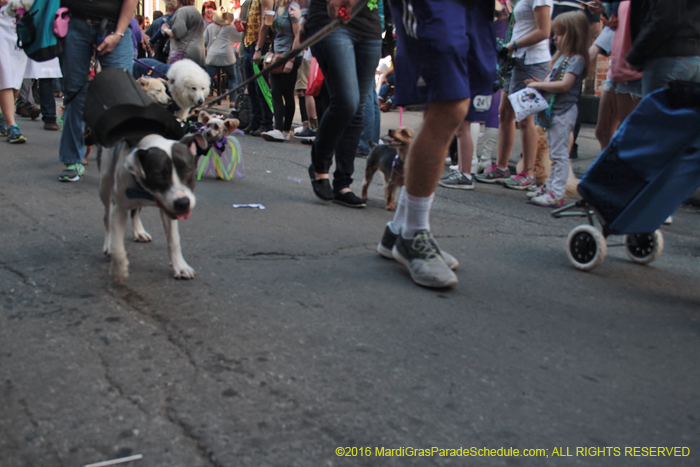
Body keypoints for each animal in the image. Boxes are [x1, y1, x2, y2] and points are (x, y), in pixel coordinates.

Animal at [98, 133, 208, 284]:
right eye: (159, 174)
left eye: (187, 169)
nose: (183, 202)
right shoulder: (119, 208)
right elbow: (117, 248)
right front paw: (118, 271)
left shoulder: (169, 210)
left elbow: (174, 240)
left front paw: (180, 266)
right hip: (105, 182)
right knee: (106, 216)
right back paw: (108, 242)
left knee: (135, 211)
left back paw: (139, 231)